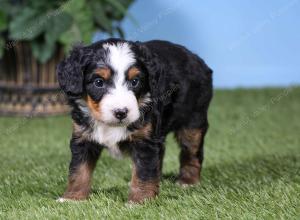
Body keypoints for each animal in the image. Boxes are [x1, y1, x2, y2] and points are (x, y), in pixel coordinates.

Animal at [55, 37, 211, 203]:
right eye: (98, 82)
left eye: (135, 81)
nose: (121, 112)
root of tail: (197, 60)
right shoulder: (83, 137)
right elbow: (79, 170)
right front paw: (72, 197)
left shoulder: (145, 140)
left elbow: (144, 171)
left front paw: (140, 200)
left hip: (193, 121)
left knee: (192, 152)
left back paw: (188, 182)